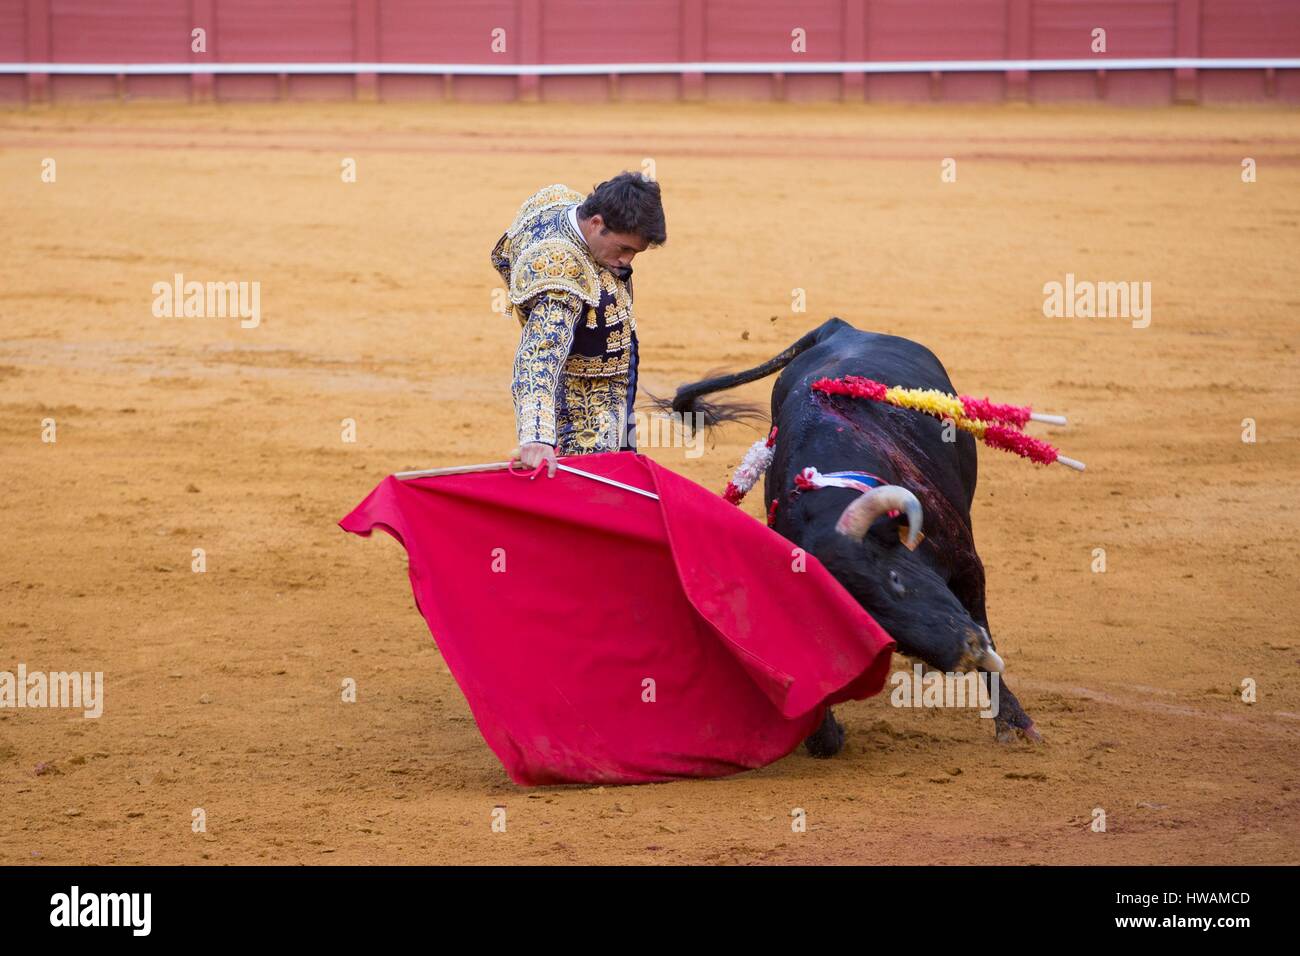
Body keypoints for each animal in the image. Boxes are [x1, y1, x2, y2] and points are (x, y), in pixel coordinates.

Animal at [665, 317, 1040, 749]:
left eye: (895, 579)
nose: (964, 654)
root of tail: (839, 328)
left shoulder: (967, 563)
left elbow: (984, 625)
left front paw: (1014, 722)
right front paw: (821, 731)